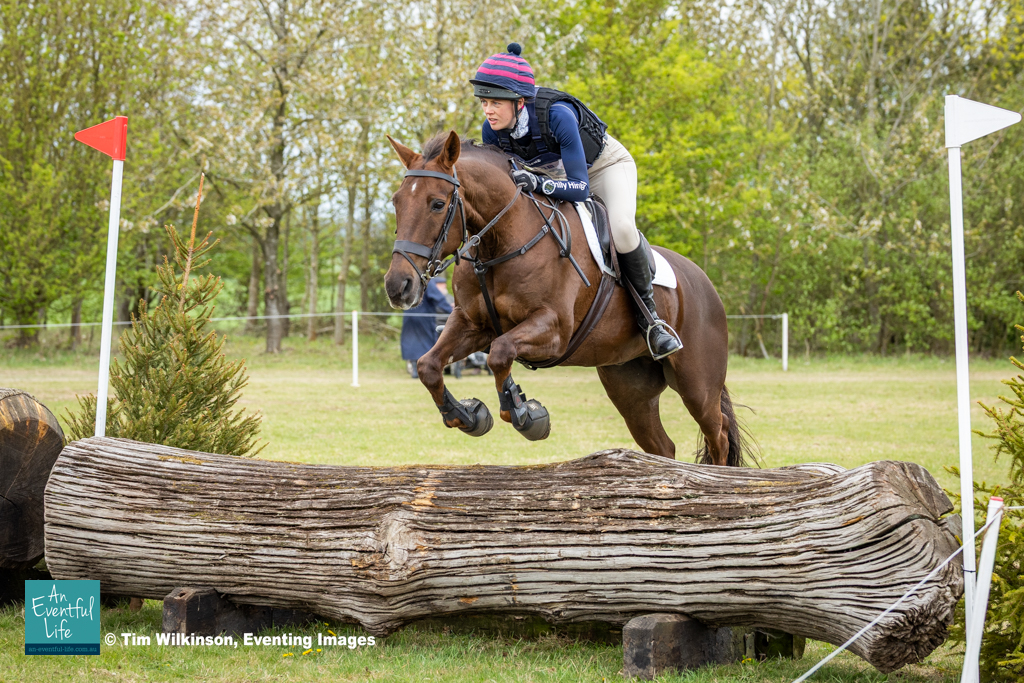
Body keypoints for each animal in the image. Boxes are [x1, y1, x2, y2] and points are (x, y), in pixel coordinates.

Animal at [384, 130, 747, 466]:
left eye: (437, 204)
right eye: (396, 202)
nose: (397, 285)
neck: (502, 242)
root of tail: (704, 282)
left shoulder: (554, 329)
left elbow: (500, 354)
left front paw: (525, 415)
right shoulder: (471, 324)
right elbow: (429, 365)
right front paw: (468, 416)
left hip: (697, 384)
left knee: (718, 434)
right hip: (630, 388)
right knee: (662, 446)